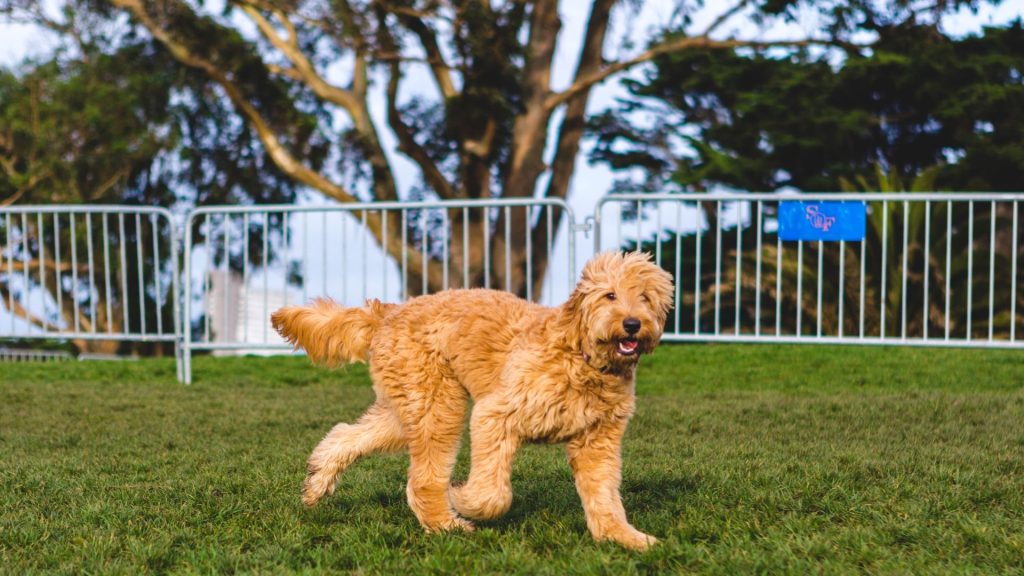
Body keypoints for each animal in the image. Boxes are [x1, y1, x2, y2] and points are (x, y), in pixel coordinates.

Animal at [270, 250, 671, 545]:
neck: (582, 357)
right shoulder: (495, 415)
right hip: (437, 406)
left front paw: (624, 538)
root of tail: (391, 312)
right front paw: (462, 498)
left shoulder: (598, 442)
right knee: (422, 481)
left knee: (347, 434)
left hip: (407, 408)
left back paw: (318, 480)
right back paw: (446, 524)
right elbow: (493, 495)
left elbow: (605, 496)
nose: (633, 324)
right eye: (610, 295)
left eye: (646, 298)